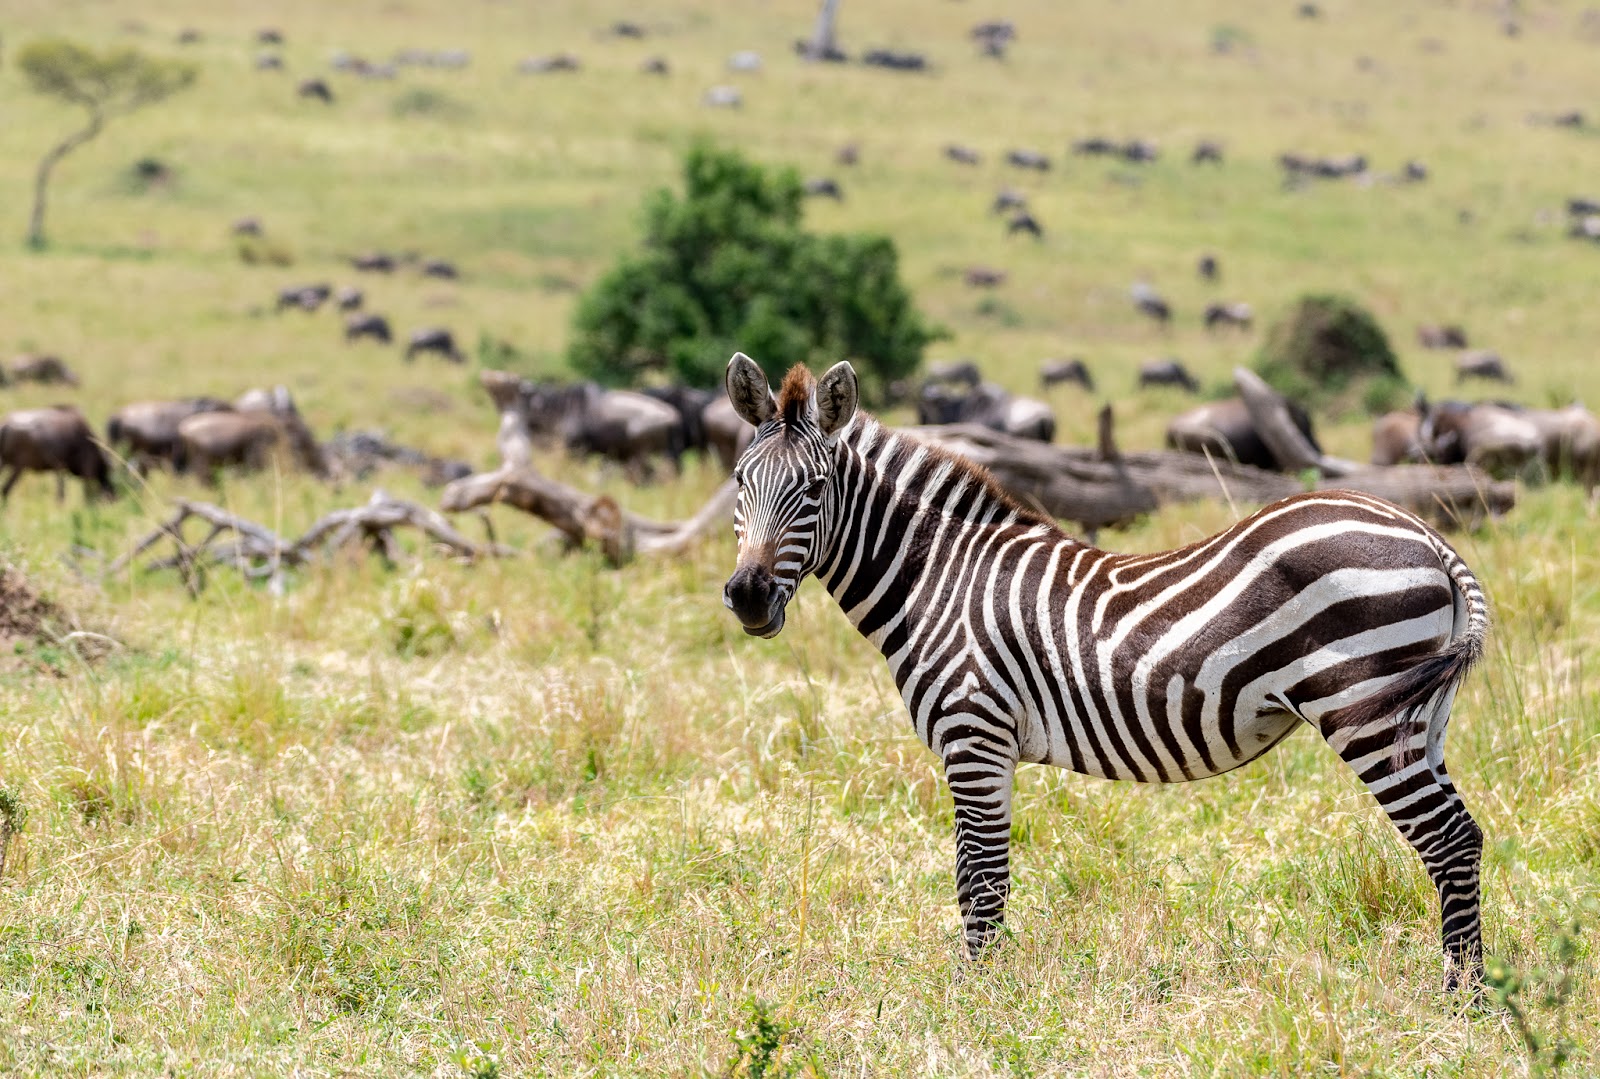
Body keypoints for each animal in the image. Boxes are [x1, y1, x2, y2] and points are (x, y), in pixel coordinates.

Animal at [720, 353, 1489, 990]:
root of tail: (1428, 535)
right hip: (1421, 718)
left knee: (1447, 840)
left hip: (1367, 709)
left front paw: (973, 998)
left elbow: (981, 878)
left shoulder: (975, 736)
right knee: (1465, 836)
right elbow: (979, 873)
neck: (942, 577)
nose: (749, 596)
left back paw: (1461, 1000)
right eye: (738, 482)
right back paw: (1473, 989)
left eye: (815, 489)